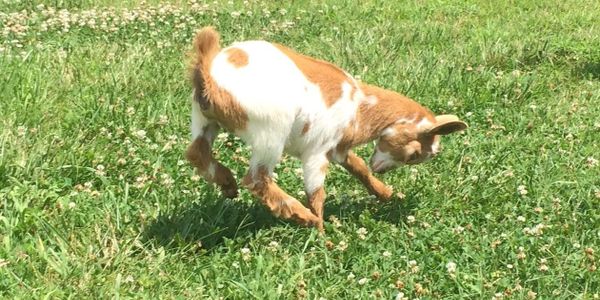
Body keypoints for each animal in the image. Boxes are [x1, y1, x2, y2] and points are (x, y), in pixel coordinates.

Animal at [185, 27, 466, 231]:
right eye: (414, 154)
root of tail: (210, 76)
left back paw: (227, 184)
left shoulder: (338, 147)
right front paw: (322, 236)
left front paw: (385, 193)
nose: (383, 171)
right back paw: (303, 217)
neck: (359, 106)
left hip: (203, 120)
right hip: (271, 132)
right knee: (257, 179)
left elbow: (358, 167)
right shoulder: (317, 152)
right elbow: (316, 194)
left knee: (197, 153)